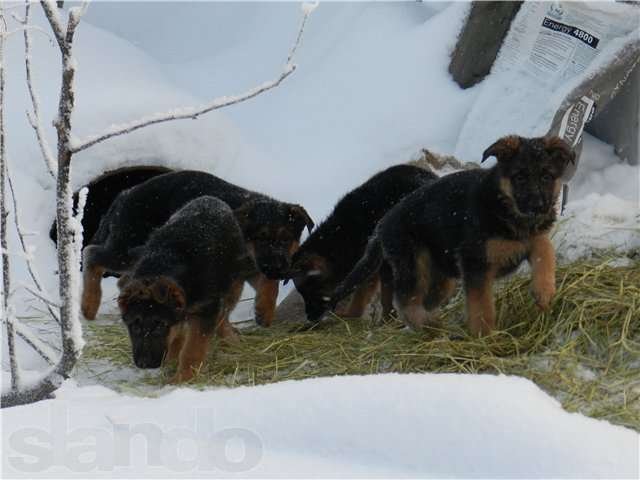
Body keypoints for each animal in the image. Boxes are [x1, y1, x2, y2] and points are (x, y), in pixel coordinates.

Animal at [84, 169, 314, 326]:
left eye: (286, 240)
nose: (277, 270)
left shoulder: (251, 269)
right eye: (259, 239)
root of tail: (124, 194)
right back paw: (89, 306)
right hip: (126, 250)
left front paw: (264, 310)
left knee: (122, 278)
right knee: (91, 254)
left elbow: (268, 284)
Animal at [116, 195, 256, 382]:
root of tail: (210, 198)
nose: (144, 364)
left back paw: (229, 338)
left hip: (233, 283)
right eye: (134, 325)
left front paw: (182, 378)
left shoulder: (205, 311)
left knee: (223, 314)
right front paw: (172, 361)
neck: (163, 262)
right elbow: (178, 335)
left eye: (160, 325)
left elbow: (192, 349)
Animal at [330, 137, 576, 336]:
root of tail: (381, 226)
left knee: (423, 301)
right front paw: (485, 338)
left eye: (547, 176)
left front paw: (544, 291)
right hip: (414, 263)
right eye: (520, 177)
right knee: (406, 301)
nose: (537, 206)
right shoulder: (475, 262)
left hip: (442, 278)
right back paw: (430, 324)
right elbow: (481, 306)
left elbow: (545, 250)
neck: (506, 208)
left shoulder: (533, 239)